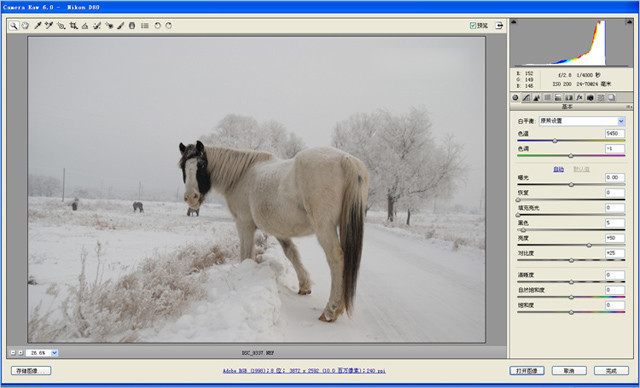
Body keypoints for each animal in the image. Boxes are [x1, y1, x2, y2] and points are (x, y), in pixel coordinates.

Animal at [180, 141, 370, 322]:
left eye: (201, 165)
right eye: (183, 167)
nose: (191, 198)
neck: (242, 176)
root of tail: (346, 159)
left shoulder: (244, 224)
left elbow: (246, 255)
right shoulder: (278, 229)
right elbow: (291, 253)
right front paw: (304, 286)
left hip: (325, 227)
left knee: (336, 259)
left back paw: (331, 310)